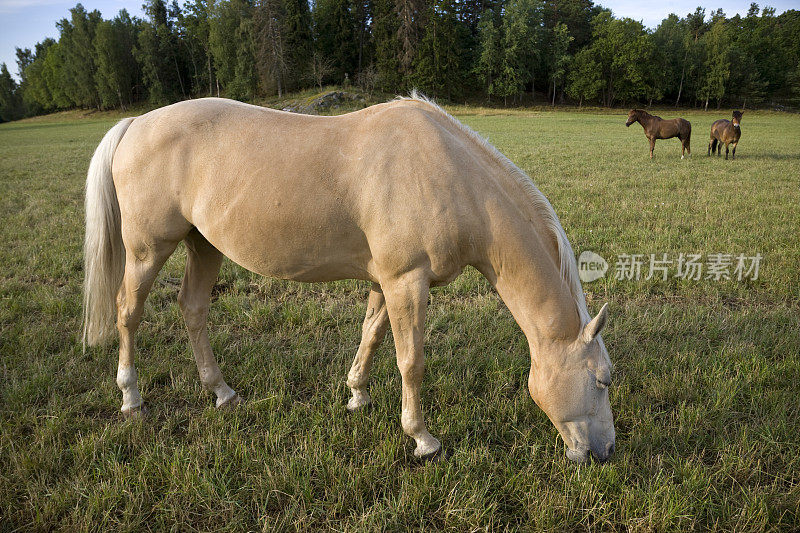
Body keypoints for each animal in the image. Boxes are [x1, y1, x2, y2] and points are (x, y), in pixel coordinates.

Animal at [84, 94, 616, 462]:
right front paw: (423, 439)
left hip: (204, 244)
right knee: (128, 313)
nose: (605, 453)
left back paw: (222, 392)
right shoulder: (407, 281)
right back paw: (131, 397)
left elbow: (371, 335)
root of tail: (137, 124)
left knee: (193, 310)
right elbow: (411, 362)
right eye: (602, 381)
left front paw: (357, 395)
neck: (450, 174)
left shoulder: (386, 281)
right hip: (147, 250)